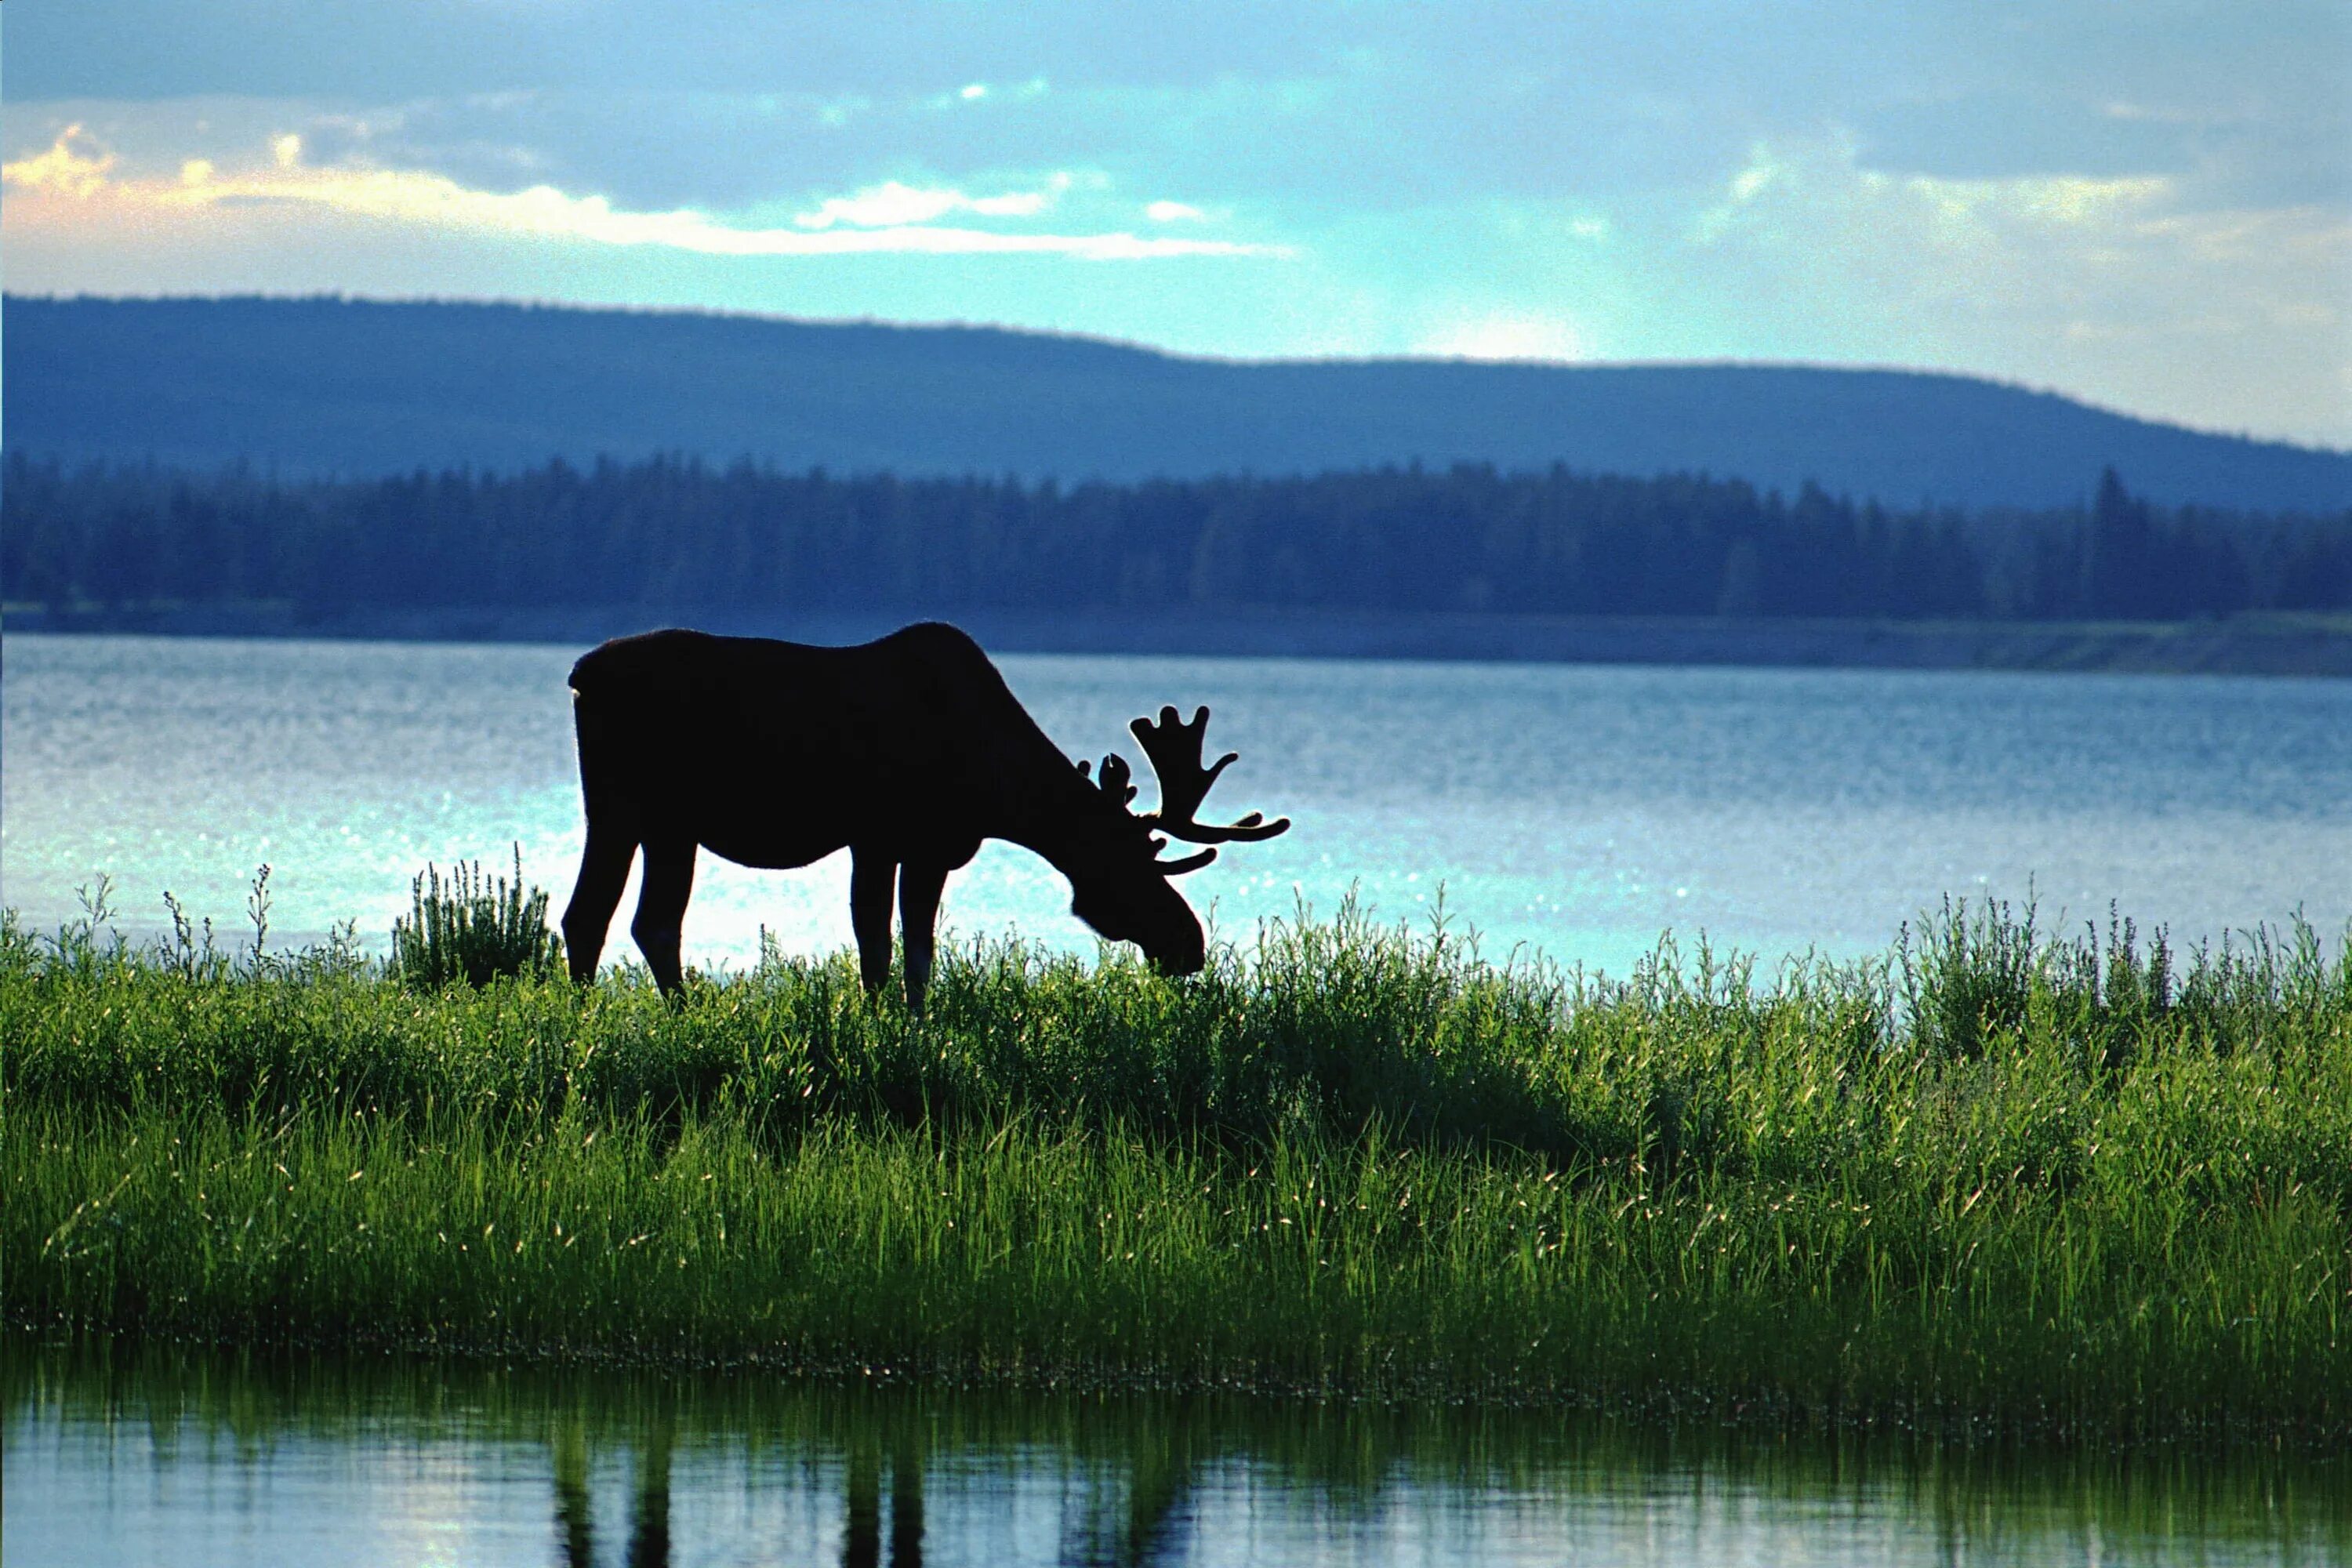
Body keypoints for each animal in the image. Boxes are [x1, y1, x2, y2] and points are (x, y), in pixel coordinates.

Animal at [560, 620, 1298, 1011]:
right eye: (1137, 862)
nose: (1190, 943)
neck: (996, 790)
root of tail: (578, 675)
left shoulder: (933, 847)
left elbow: (918, 950)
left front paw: (916, 1023)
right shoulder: (878, 836)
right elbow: (879, 946)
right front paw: (880, 1023)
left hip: (647, 821)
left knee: (622, 919)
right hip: (642, 811)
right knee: (617, 918)